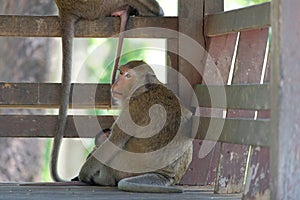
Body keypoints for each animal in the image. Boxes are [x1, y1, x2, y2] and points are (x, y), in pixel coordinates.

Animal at [78, 60, 193, 192]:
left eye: (128, 76)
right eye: (121, 73)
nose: (116, 84)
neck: (144, 89)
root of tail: (167, 176)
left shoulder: (132, 109)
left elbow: (114, 142)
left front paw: (83, 174)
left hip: (123, 168)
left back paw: (102, 180)